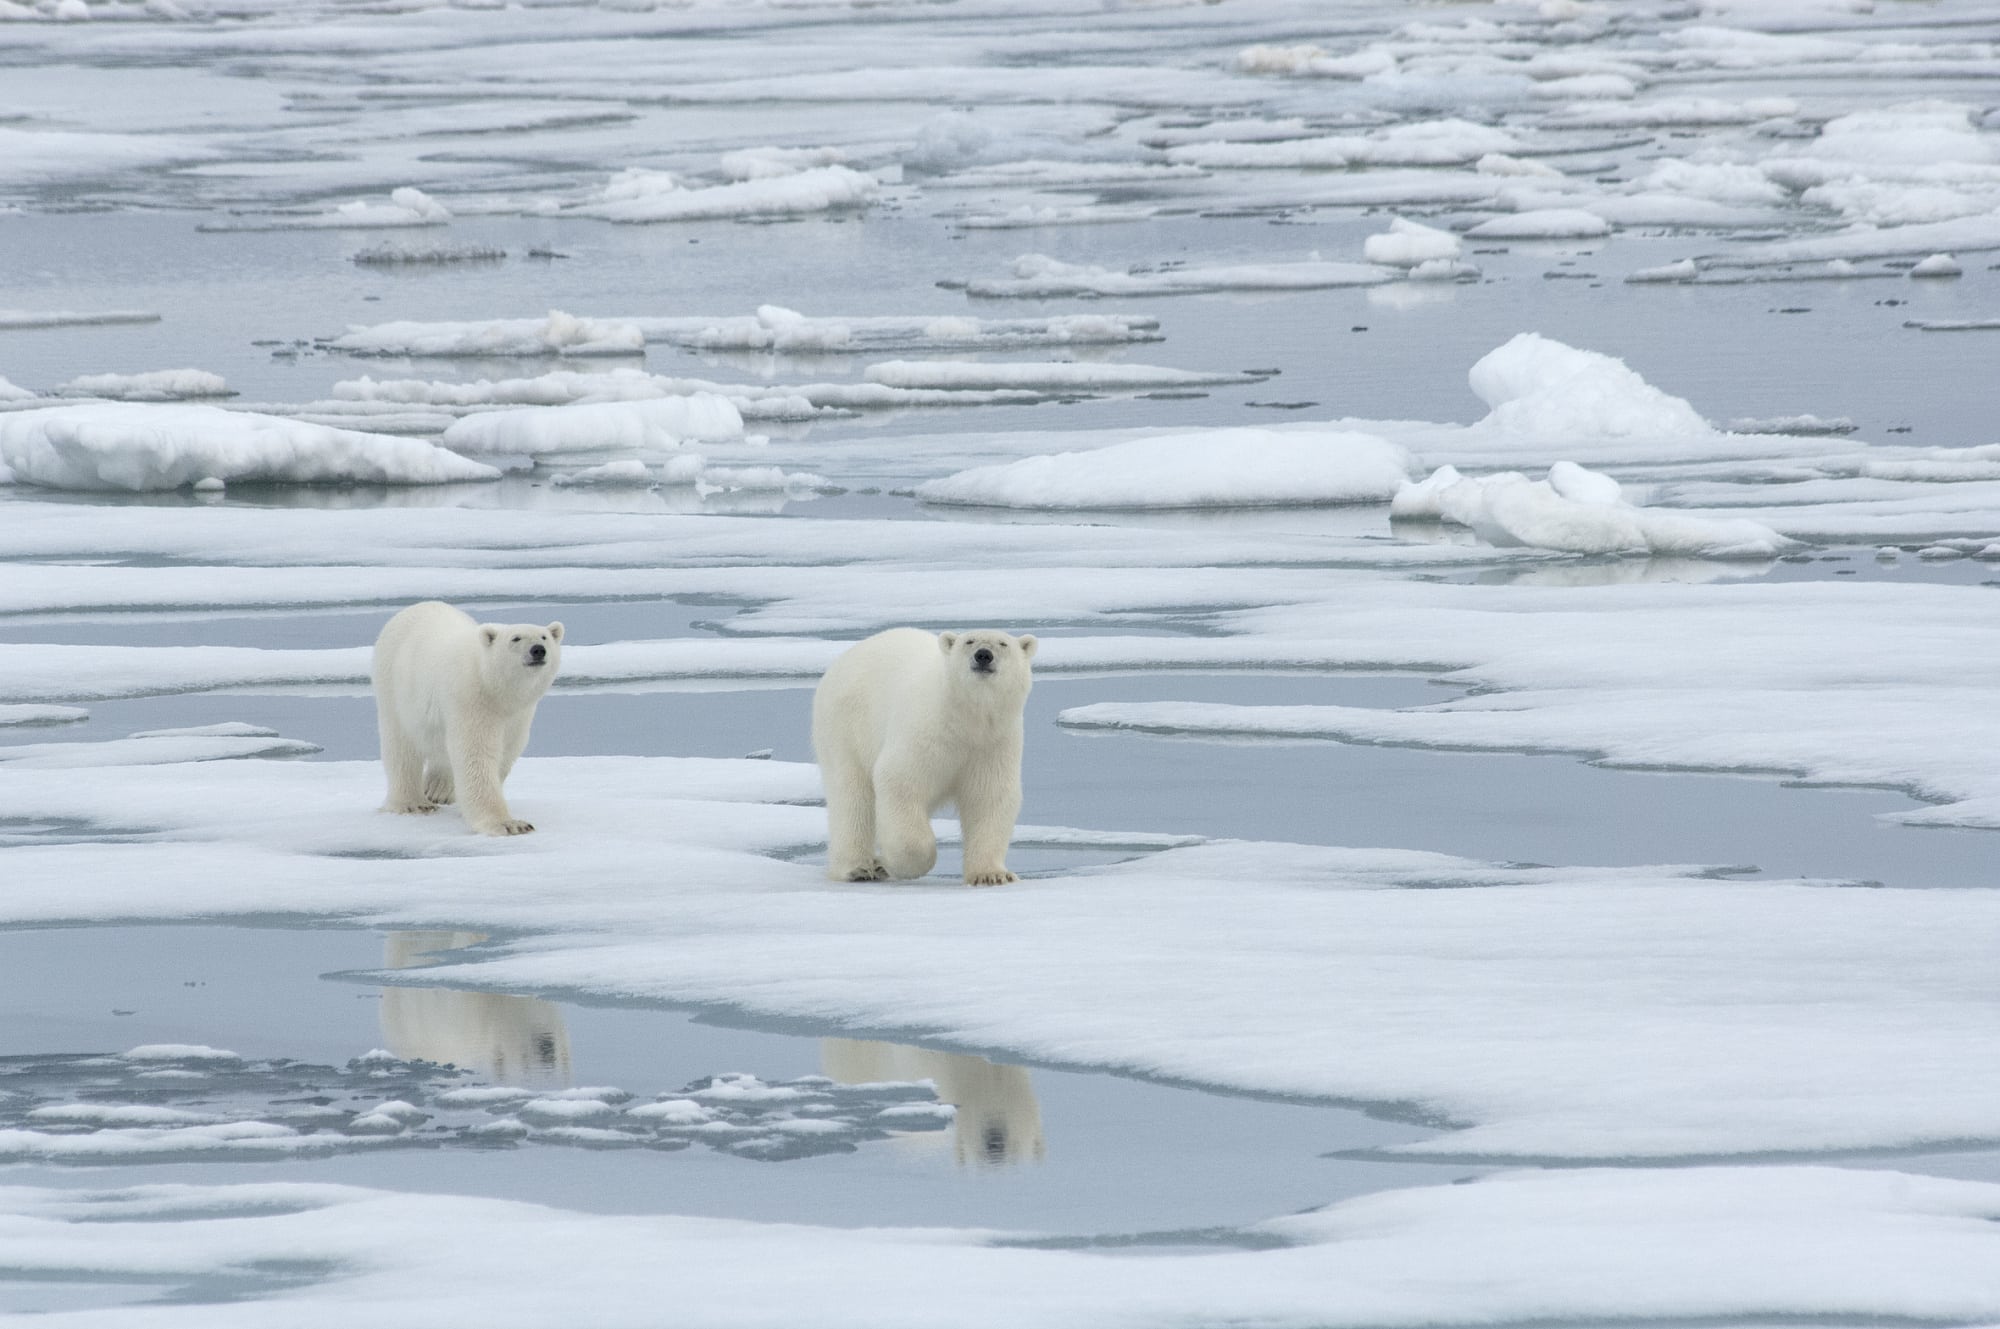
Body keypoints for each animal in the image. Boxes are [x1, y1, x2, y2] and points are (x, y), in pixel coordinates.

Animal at [372, 604, 564, 836]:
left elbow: (505, 752)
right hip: (394, 687)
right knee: (401, 747)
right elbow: (476, 754)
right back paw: (412, 803)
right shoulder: (471, 698)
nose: (538, 650)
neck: (493, 687)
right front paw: (510, 824)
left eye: (544, 637)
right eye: (515, 638)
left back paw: (439, 789)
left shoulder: (519, 715)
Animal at [808, 628, 1032, 888]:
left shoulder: (992, 743)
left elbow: (989, 798)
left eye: (1003, 644)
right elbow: (900, 781)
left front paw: (992, 875)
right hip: (845, 727)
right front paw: (893, 864)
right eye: (969, 641)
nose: (983, 655)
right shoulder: (926, 730)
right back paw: (858, 868)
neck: (965, 719)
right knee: (851, 797)